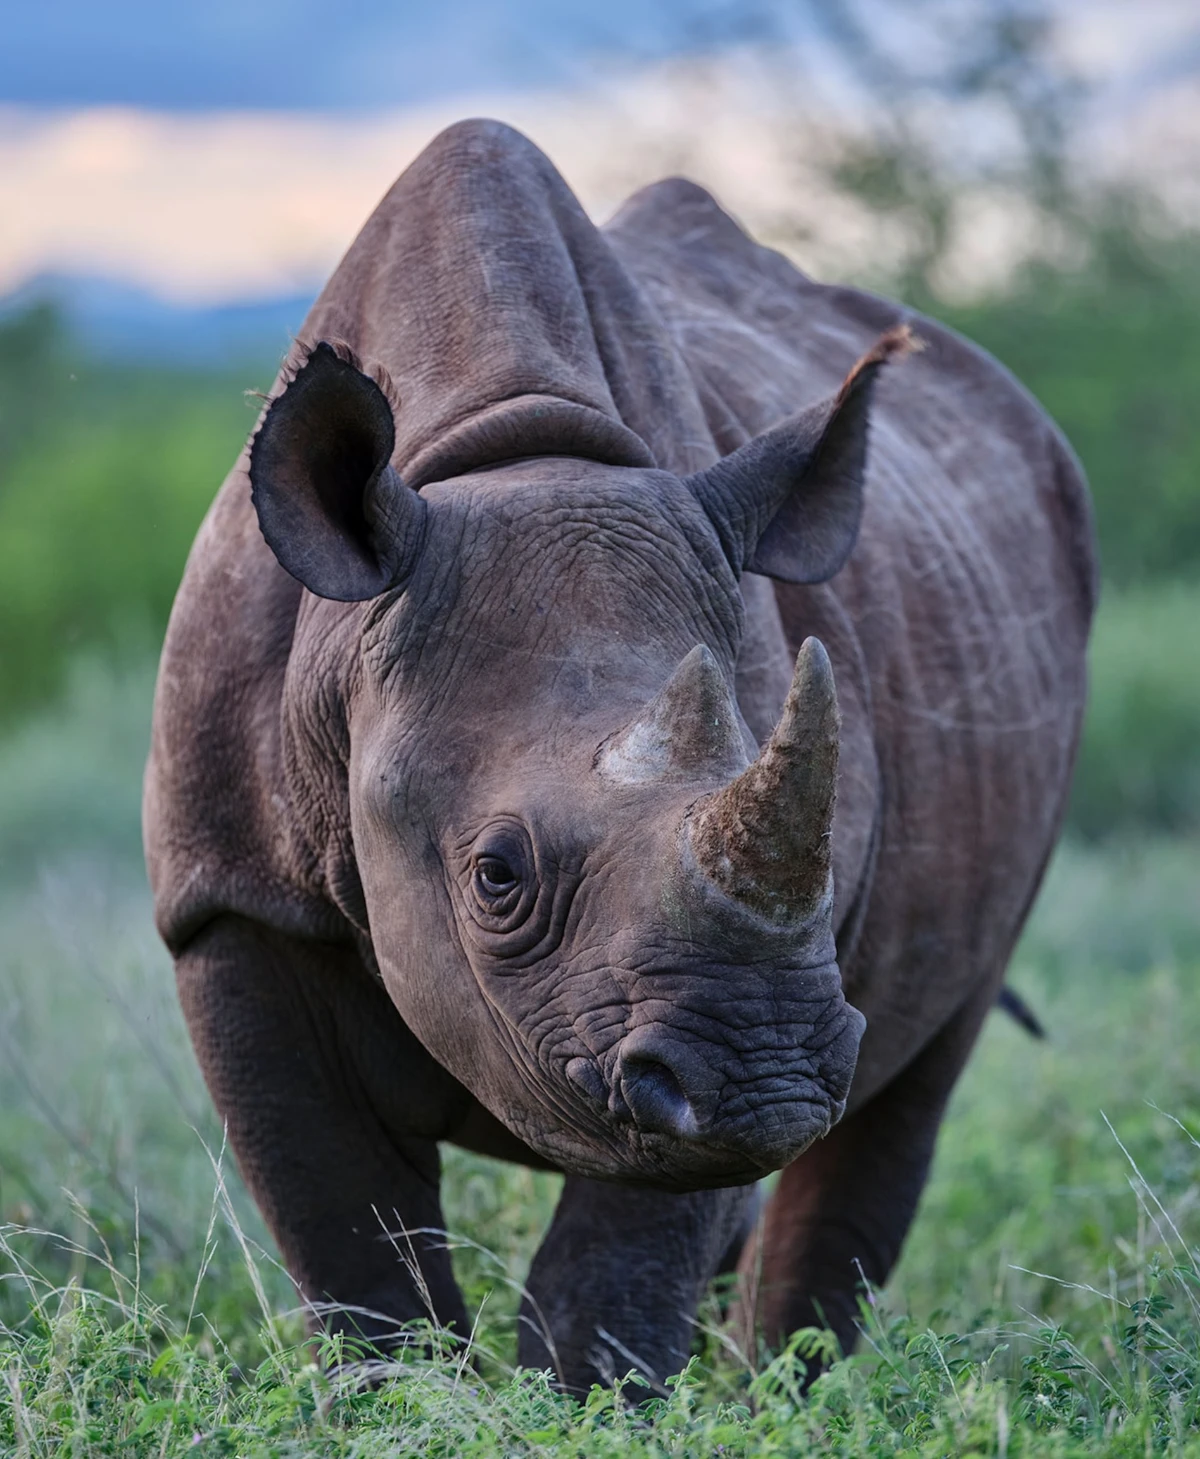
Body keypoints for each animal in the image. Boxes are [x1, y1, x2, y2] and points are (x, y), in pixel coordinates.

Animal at [144, 119, 1096, 1391]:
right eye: (496, 874)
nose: (768, 1075)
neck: (504, 450)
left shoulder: (707, 1010)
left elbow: (613, 1266)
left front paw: (587, 1409)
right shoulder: (229, 899)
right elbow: (348, 1240)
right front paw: (406, 1404)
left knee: (912, 1079)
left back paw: (782, 1394)